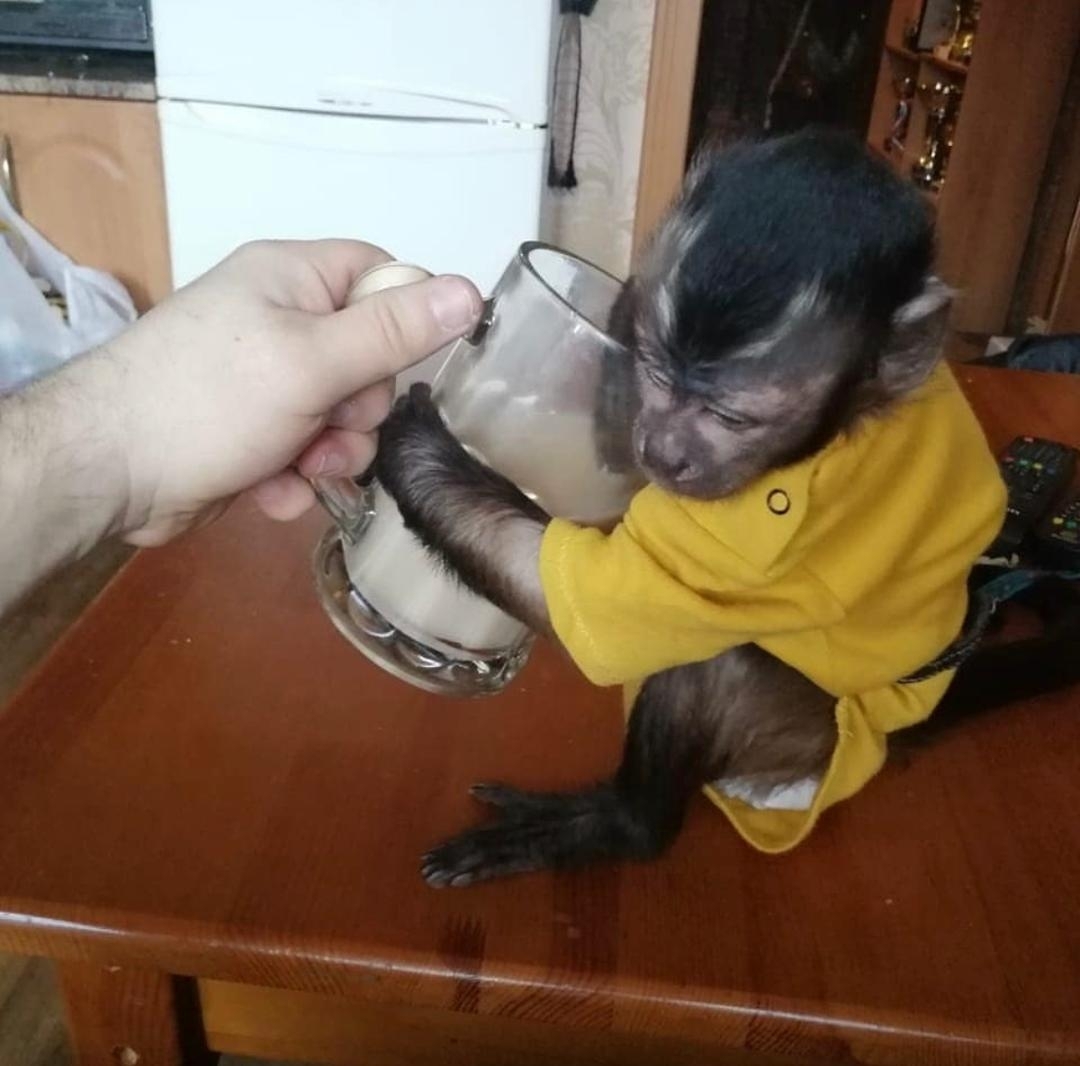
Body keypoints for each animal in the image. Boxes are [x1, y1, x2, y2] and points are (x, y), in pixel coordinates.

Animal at [374, 128, 1080, 888]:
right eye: (656, 372)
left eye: (729, 417)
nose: (663, 448)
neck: (844, 425)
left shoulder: (782, 527)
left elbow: (599, 612)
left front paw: (411, 445)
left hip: (796, 741)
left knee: (713, 660)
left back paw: (622, 825)